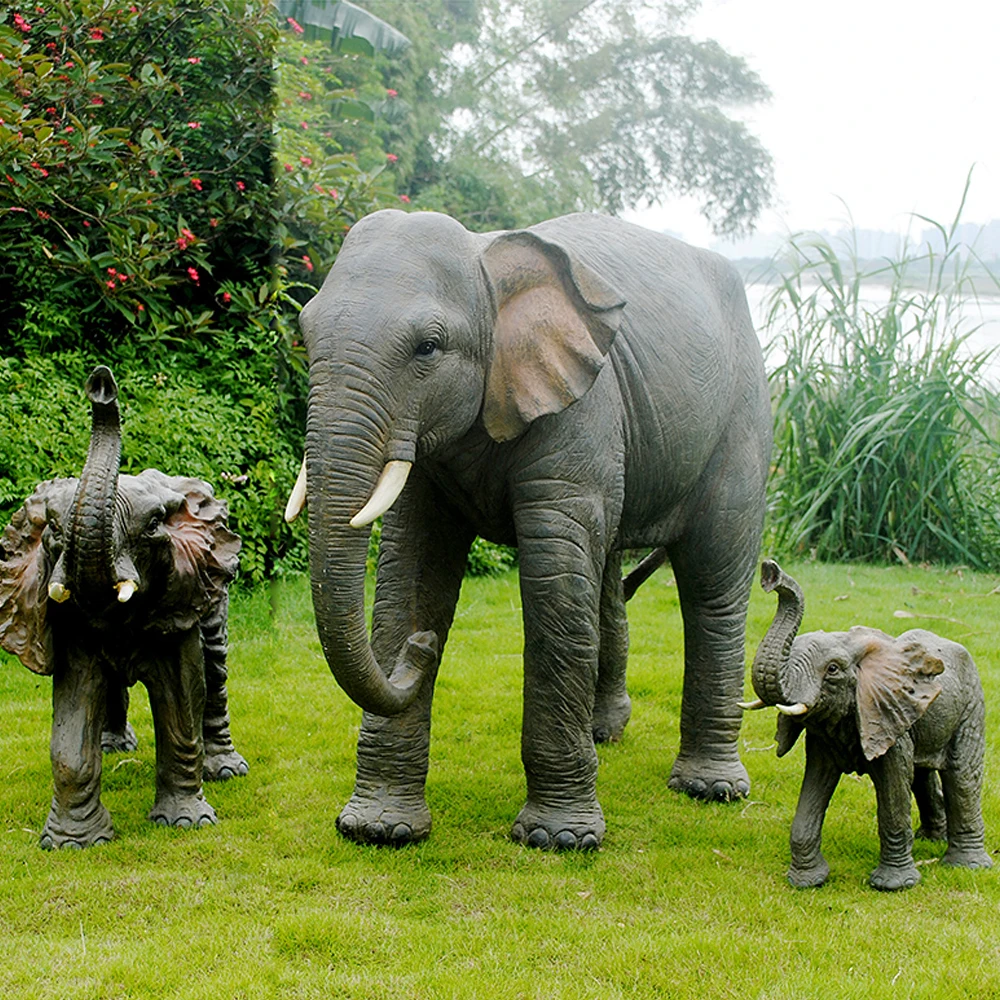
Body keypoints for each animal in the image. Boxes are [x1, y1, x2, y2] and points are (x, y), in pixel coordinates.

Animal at [0, 366, 246, 849]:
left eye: (152, 525)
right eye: (53, 530)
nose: (100, 384)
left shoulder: (181, 598)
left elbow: (181, 700)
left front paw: (187, 823)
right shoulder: (70, 626)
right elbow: (72, 719)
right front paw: (72, 844)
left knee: (214, 670)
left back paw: (226, 770)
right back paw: (113, 747)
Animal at [288, 209, 772, 850]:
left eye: (428, 347)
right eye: (305, 334)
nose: (420, 652)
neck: (486, 262)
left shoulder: (581, 410)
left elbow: (555, 581)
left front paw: (559, 840)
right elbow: (410, 569)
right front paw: (380, 829)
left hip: (743, 417)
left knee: (711, 583)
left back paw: (710, 788)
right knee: (608, 573)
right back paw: (605, 735)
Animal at [744, 559, 992, 890]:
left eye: (833, 669)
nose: (771, 573)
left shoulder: (886, 718)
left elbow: (893, 792)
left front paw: (893, 886)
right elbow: (815, 784)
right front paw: (807, 882)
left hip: (971, 705)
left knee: (961, 775)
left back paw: (967, 865)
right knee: (922, 776)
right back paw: (930, 839)